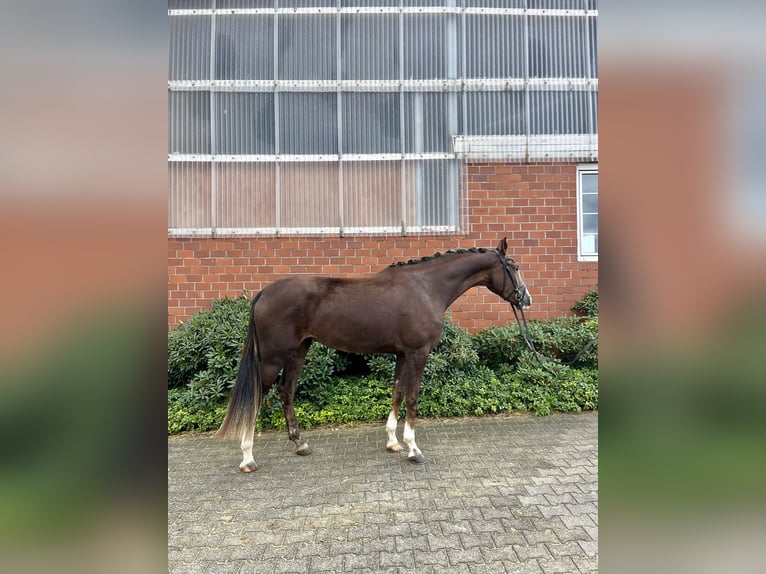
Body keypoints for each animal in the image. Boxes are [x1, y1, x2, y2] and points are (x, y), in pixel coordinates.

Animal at [219, 238, 532, 472]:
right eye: (514, 267)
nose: (525, 298)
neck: (426, 288)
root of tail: (263, 293)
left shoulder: (402, 355)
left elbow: (397, 392)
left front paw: (393, 441)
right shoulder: (418, 354)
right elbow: (413, 397)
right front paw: (413, 449)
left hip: (299, 350)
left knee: (286, 391)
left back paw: (300, 444)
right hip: (273, 358)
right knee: (257, 396)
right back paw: (248, 458)